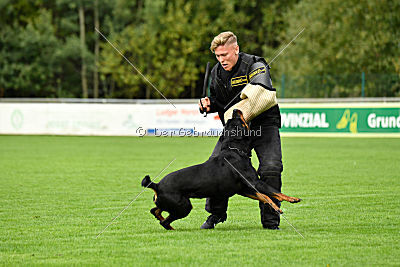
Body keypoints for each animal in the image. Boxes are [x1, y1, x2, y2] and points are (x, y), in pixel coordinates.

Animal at [141, 110, 300, 231]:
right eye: (237, 120)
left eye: (232, 120)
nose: (236, 110)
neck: (235, 150)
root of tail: (156, 185)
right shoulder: (255, 183)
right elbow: (272, 193)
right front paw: (289, 201)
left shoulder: (245, 189)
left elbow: (265, 196)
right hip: (183, 206)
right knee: (164, 221)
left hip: (168, 204)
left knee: (155, 211)